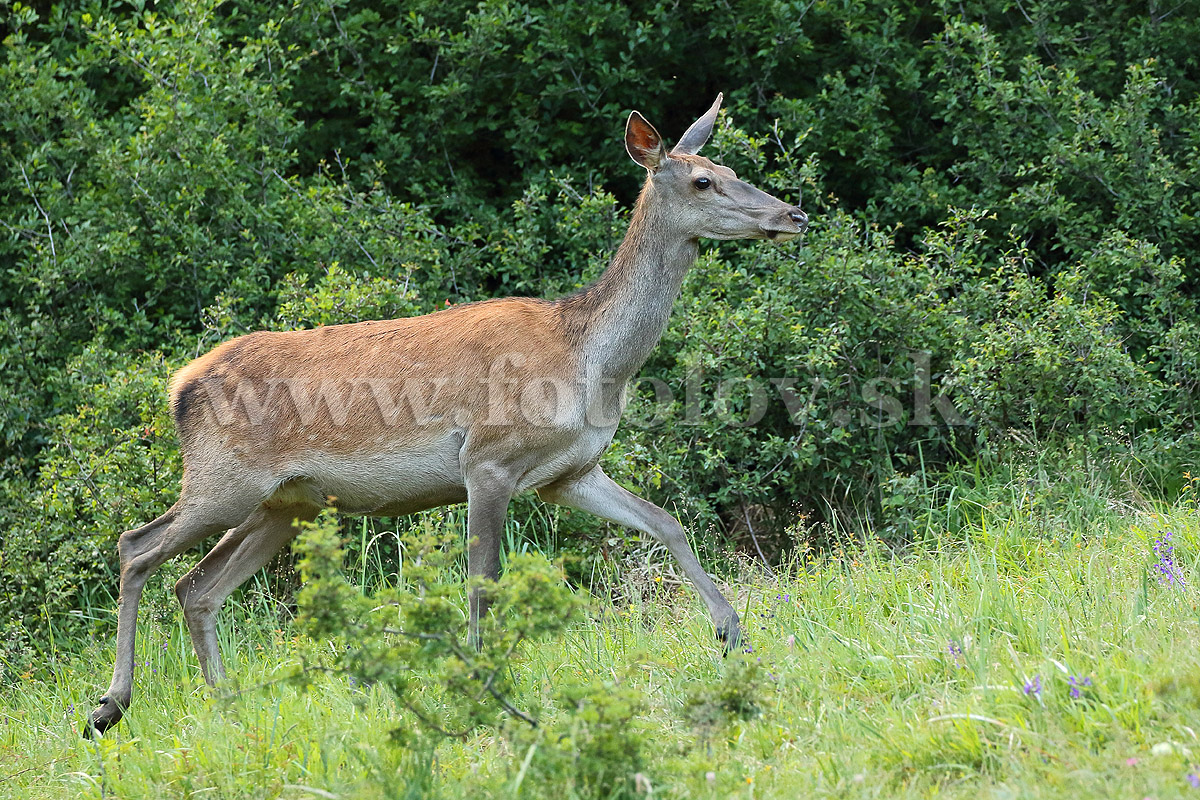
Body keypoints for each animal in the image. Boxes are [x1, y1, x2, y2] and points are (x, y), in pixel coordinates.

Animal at [88, 92, 811, 734]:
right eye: (703, 181)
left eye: (732, 169)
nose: (794, 213)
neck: (590, 360)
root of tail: (180, 386)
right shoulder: (487, 460)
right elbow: (482, 579)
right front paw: (481, 679)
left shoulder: (568, 472)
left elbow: (667, 524)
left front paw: (733, 634)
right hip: (224, 479)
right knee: (136, 546)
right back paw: (110, 706)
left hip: (285, 504)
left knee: (197, 586)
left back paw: (226, 703)